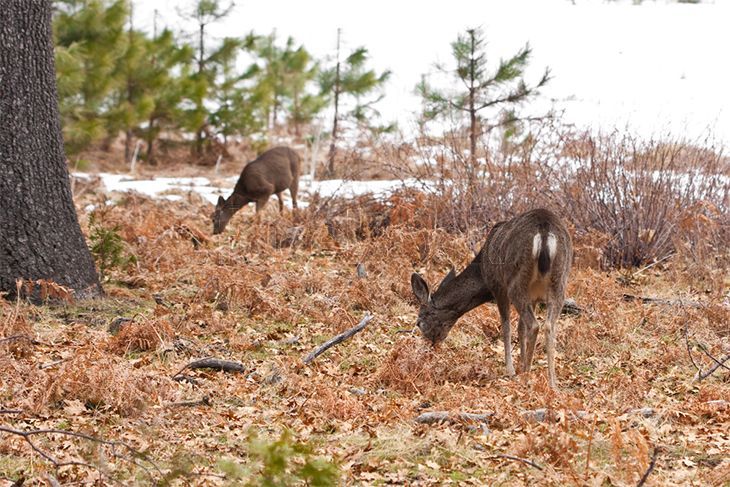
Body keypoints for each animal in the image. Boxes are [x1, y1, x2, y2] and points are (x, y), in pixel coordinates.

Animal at [410, 208, 568, 390]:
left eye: (420, 322)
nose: (429, 349)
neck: (482, 272)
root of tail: (544, 232)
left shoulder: (498, 287)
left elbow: (506, 327)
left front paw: (511, 370)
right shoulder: (533, 297)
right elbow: (520, 328)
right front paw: (520, 364)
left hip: (516, 282)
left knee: (534, 325)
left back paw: (526, 377)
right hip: (560, 282)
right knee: (549, 325)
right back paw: (553, 383)